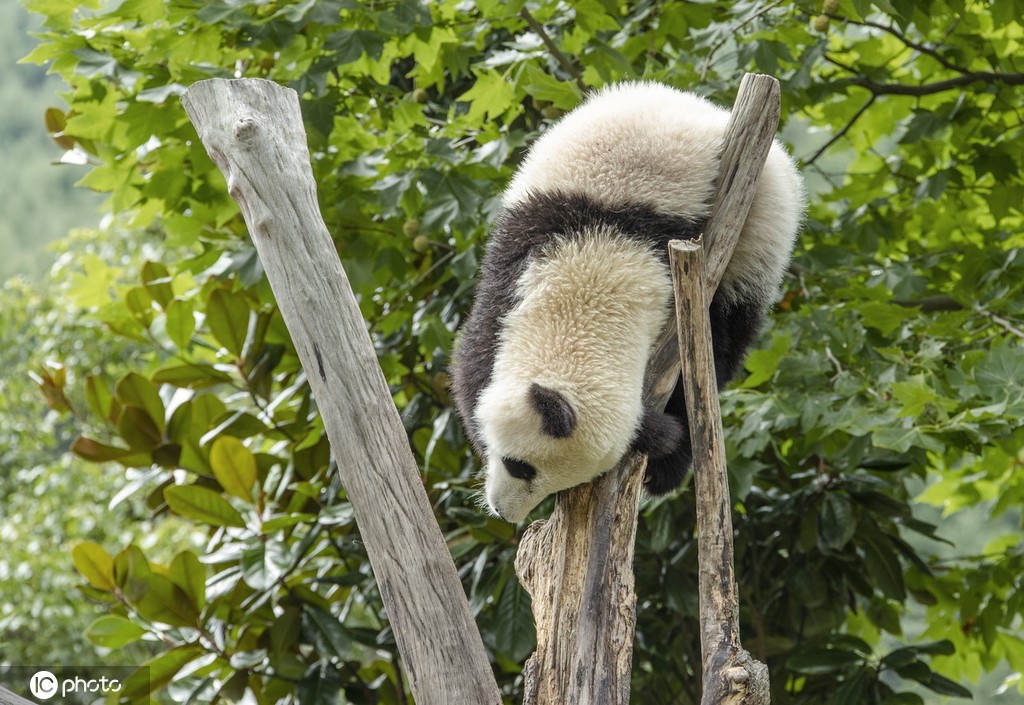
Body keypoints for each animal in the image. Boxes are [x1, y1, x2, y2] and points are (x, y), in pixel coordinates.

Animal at [452, 82, 802, 522]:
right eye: (518, 465)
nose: (503, 511)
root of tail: (711, 109)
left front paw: (665, 451)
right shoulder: (523, 259)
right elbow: (473, 362)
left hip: (760, 230)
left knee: (731, 330)